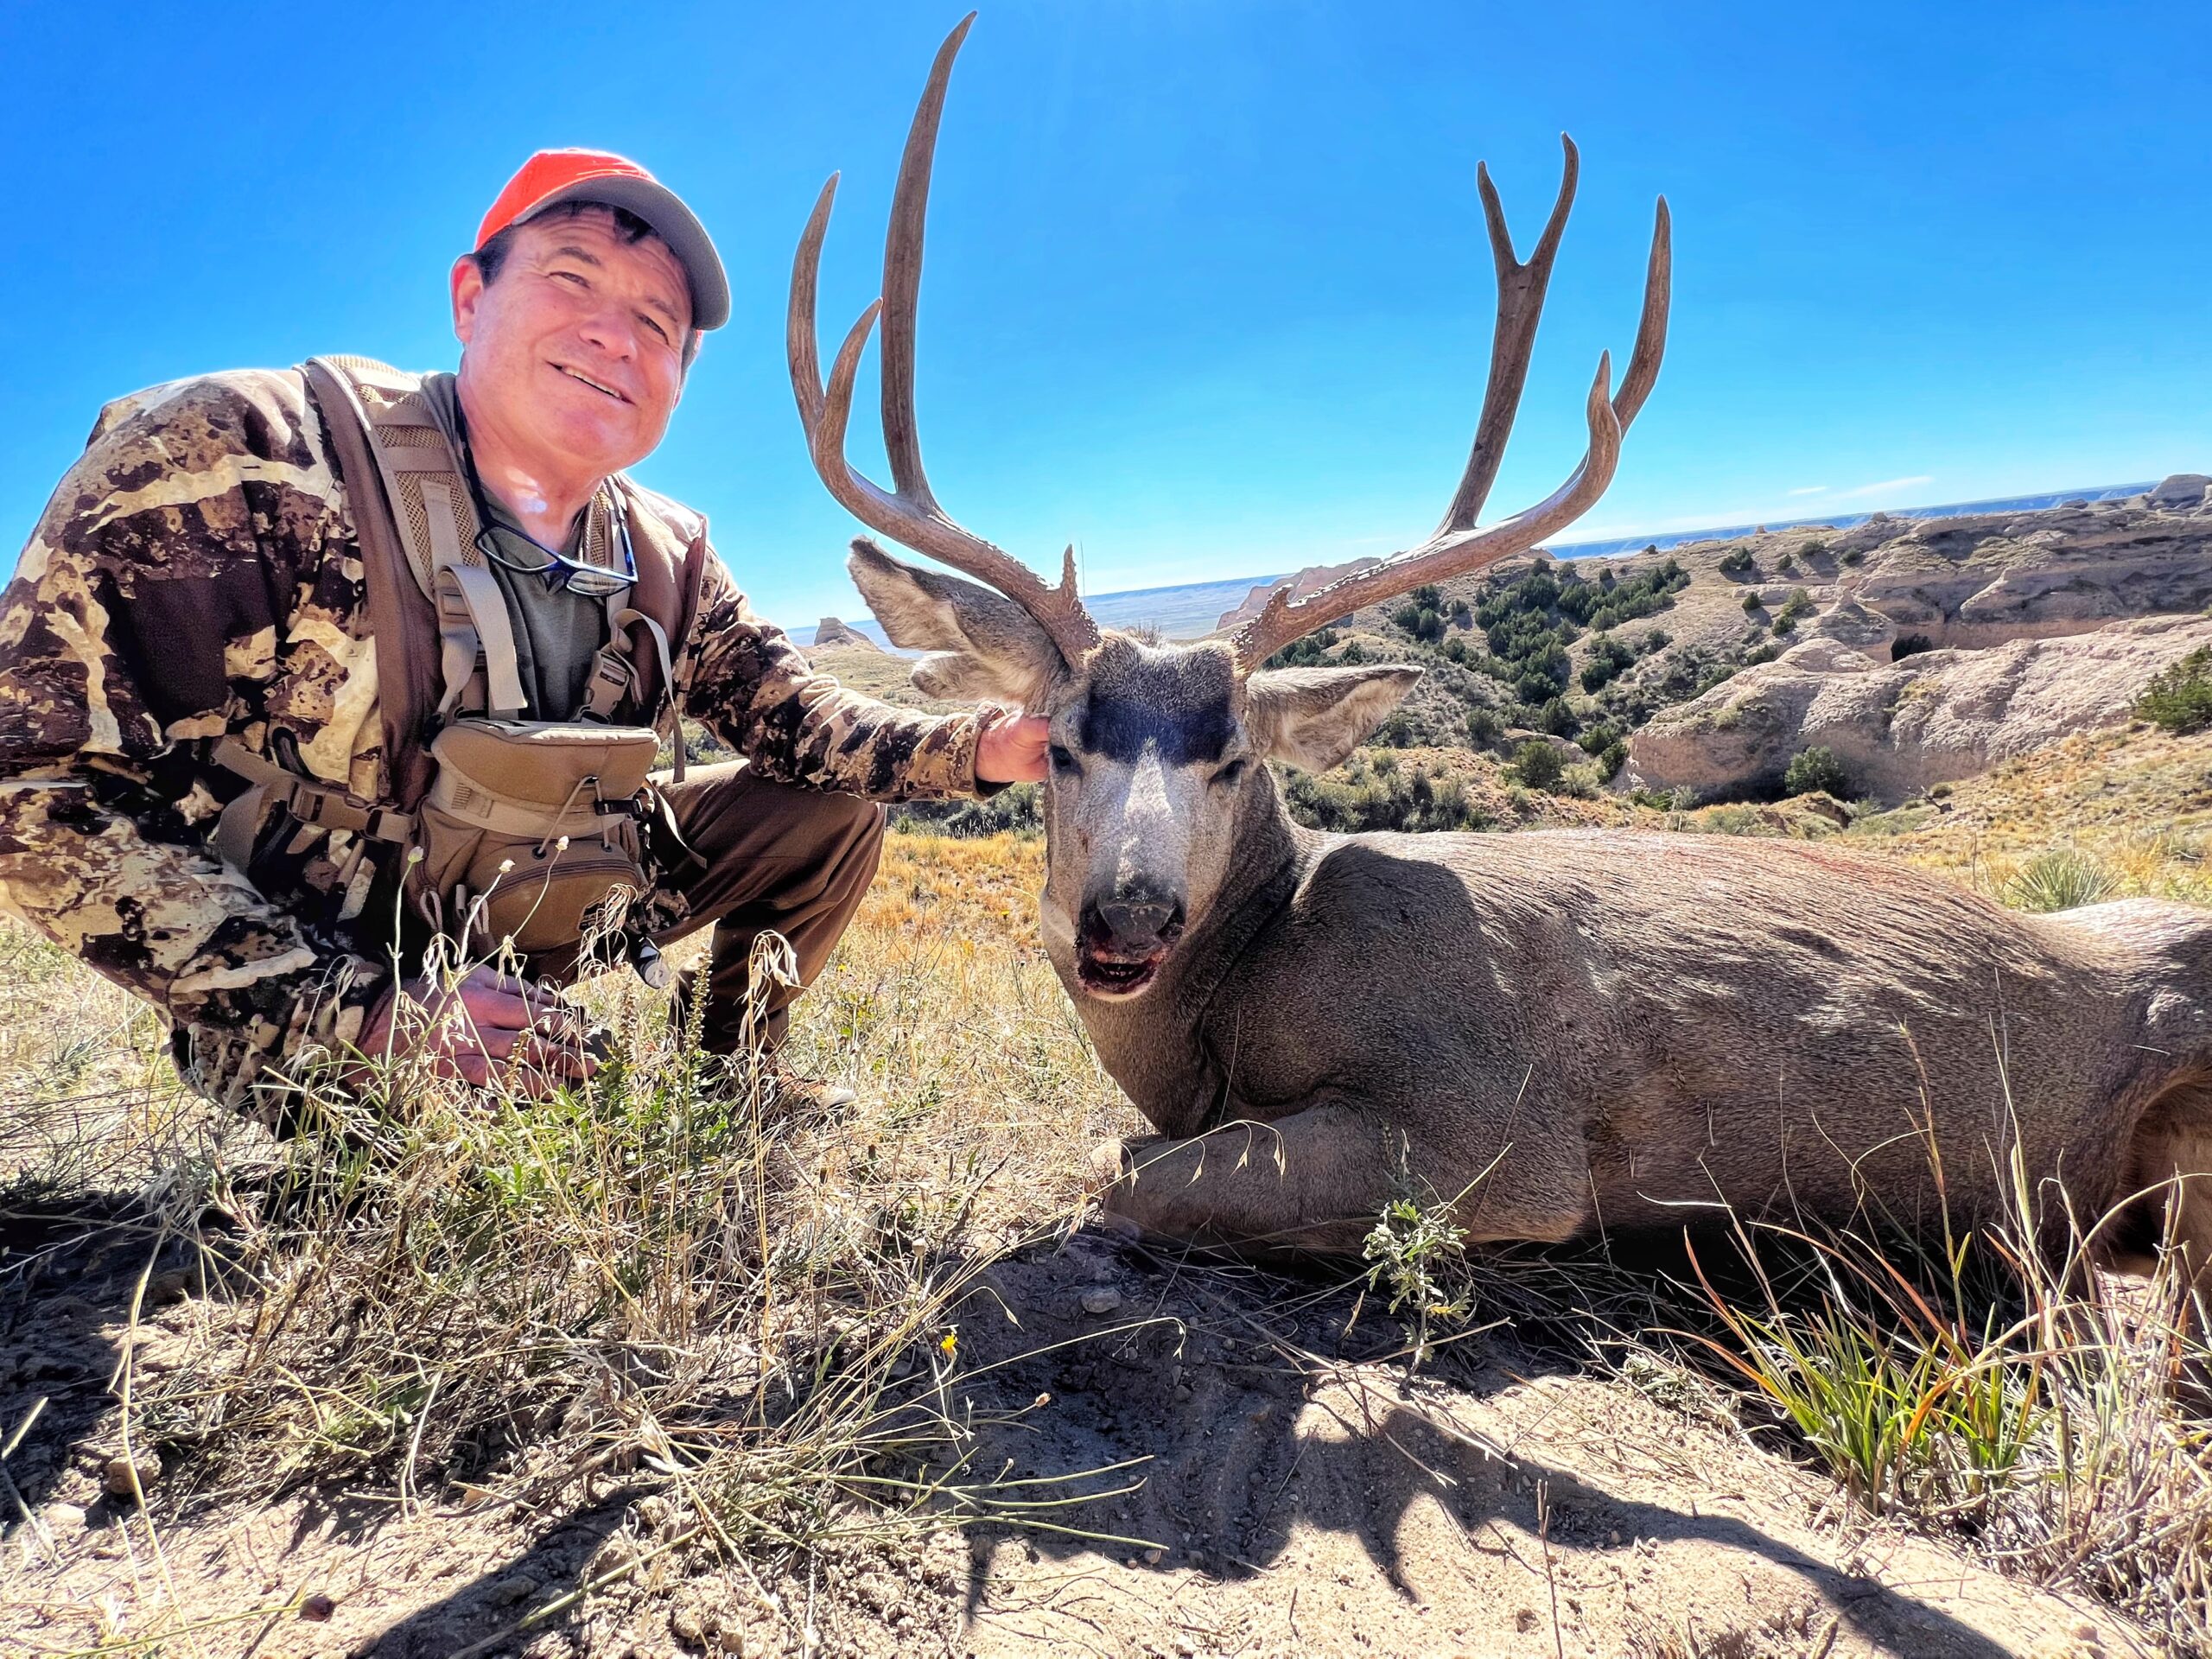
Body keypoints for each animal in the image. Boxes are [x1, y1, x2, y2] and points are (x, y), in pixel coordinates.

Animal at [788, 16, 2212, 1301]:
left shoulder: (1493, 1131)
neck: (1244, 990)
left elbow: (1118, 1169)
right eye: (1065, 745)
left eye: (1234, 757)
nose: (1126, 920)